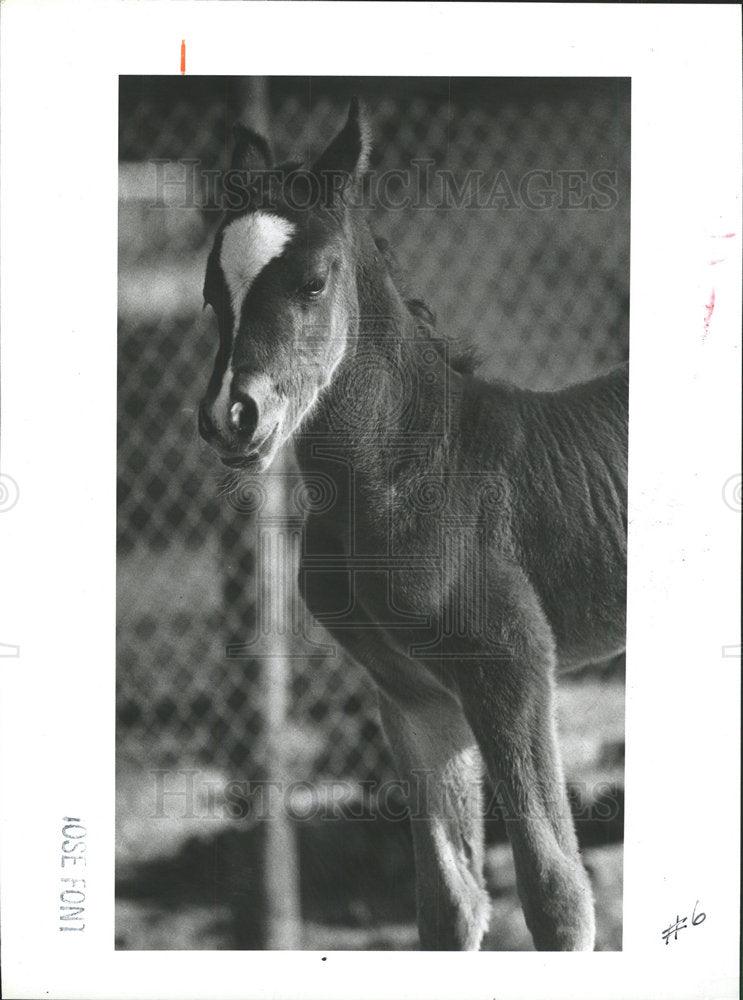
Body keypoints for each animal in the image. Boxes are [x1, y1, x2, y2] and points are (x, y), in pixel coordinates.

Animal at [197, 98, 628, 951]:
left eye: (313, 281)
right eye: (209, 293)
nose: (232, 416)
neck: (413, 468)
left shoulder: (510, 669)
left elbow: (557, 894)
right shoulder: (411, 693)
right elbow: (450, 900)